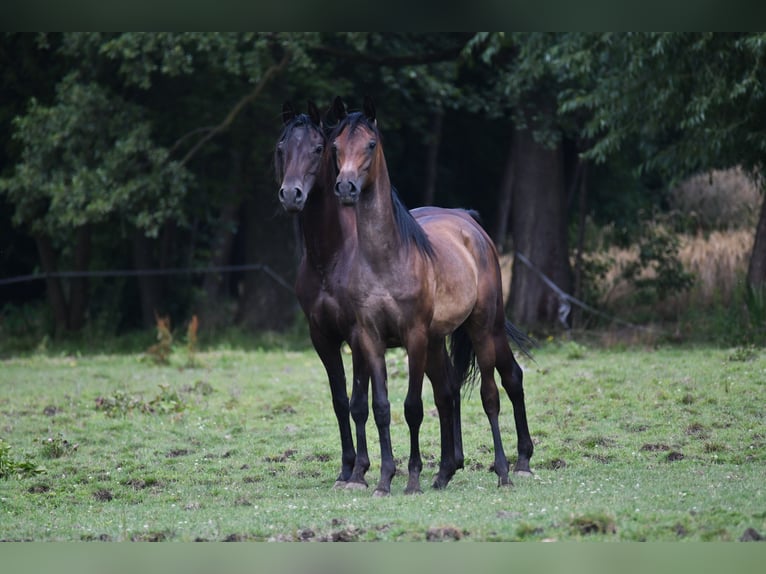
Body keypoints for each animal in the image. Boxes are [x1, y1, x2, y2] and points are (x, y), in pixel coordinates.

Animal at [332, 97, 536, 498]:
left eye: (370, 144)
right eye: (335, 146)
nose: (346, 187)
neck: (386, 259)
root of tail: (470, 224)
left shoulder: (413, 336)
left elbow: (413, 407)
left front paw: (411, 479)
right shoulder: (371, 339)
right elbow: (382, 408)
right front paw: (384, 479)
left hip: (484, 328)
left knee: (496, 390)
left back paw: (509, 468)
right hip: (439, 339)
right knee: (449, 392)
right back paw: (445, 473)